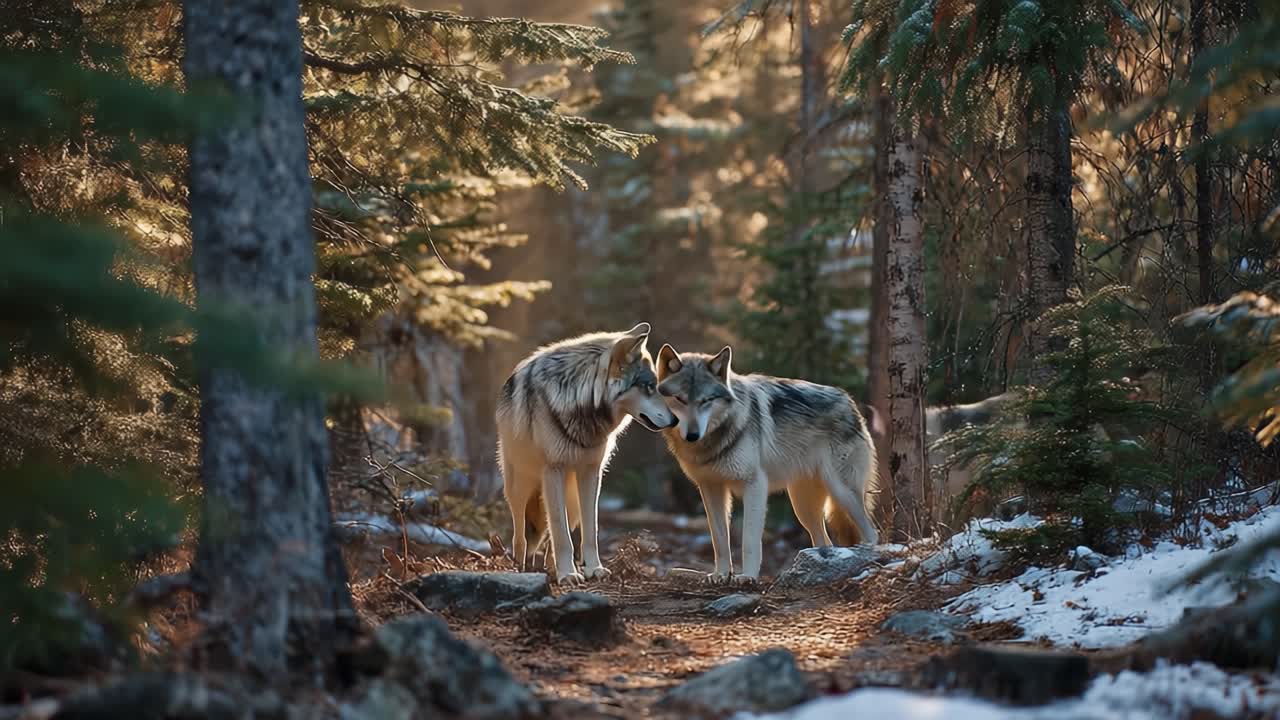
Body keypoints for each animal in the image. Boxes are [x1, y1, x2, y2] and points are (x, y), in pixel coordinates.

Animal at [496, 323, 676, 584]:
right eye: (650, 387)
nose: (675, 420)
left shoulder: (592, 473)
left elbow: (590, 530)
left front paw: (592, 569)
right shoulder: (553, 470)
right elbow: (560, 533)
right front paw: (568, 574)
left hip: (570, 499)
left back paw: (553, 567)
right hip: (521, 487)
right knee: (520, 535)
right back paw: (521, 567)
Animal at [655, 344, 879, 583]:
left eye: (706, 401)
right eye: (680, 399)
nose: (692, 435)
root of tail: (850, 401)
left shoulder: (755, 485)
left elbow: (749, 539)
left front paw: (748, 577)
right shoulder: (710, 488)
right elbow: (719, 540)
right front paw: (721, 574)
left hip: (842, 491)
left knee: (872, 532)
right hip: (803, 506)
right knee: (824, 541)